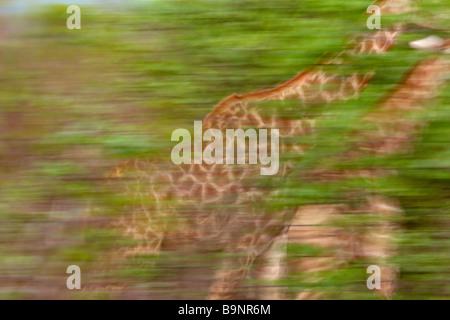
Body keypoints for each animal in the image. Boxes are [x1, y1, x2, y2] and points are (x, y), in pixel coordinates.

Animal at [104, 0, 442, 300]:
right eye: (430, 3)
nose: (443, 26)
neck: (293, 133)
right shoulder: (243, 240)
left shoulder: (273, 241)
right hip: (134, 248)